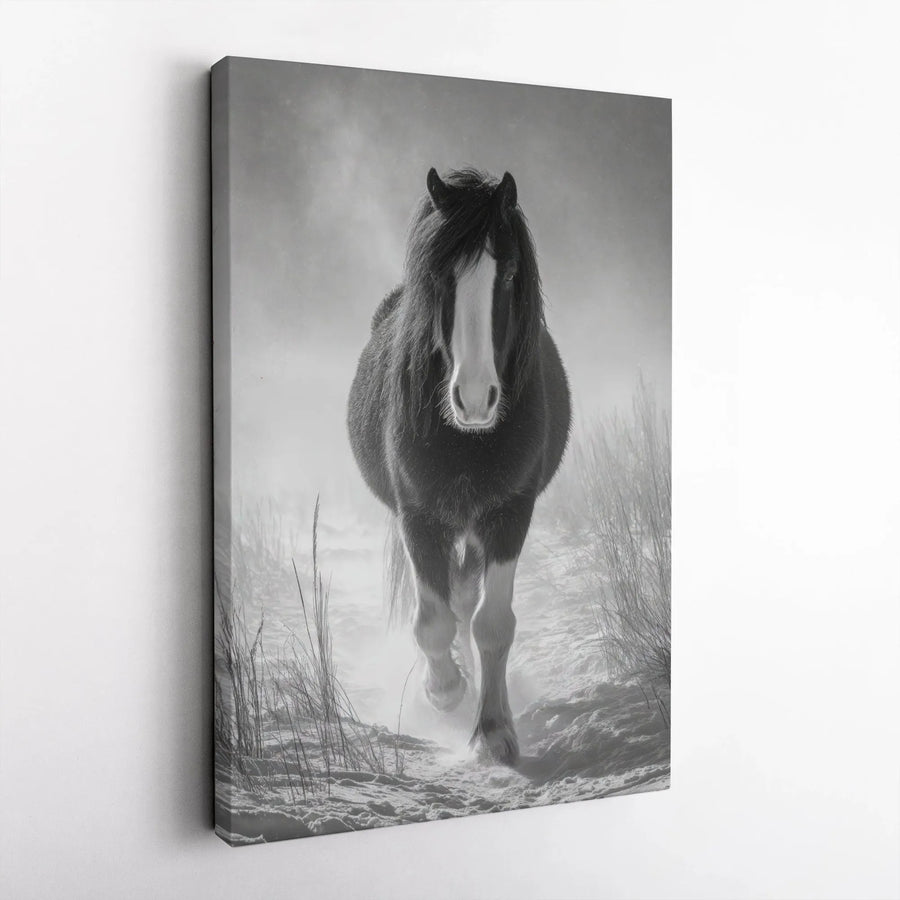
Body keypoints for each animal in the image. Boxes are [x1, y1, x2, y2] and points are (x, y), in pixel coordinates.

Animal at [347, 167, 571, 765]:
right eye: (441, 276)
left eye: (509, 272)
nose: (473, 400)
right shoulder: (418, 517)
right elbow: (432, 622)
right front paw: (445, 691)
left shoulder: (510, 514)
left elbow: (491, 624)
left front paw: (494, 730)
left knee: (468, 603)